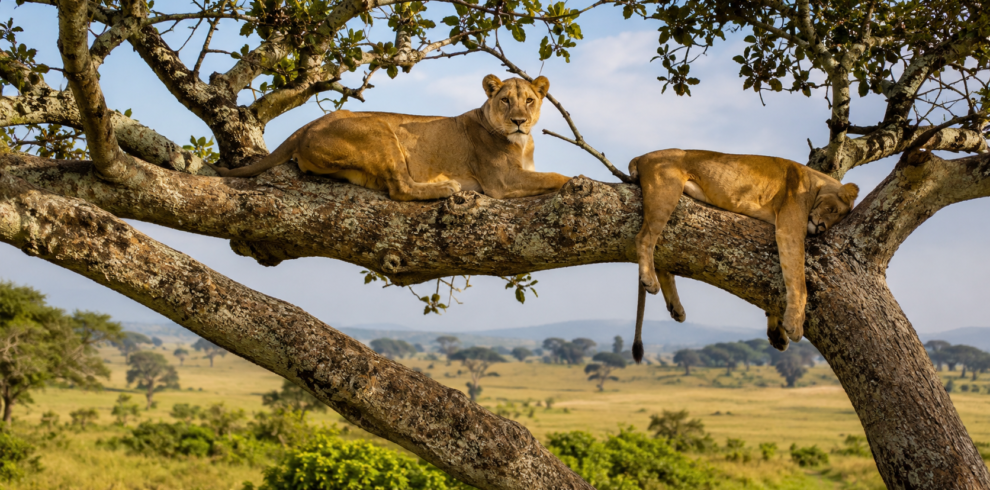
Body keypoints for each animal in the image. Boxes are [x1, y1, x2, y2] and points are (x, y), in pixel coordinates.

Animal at [209, 75, 571, 201]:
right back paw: (445, 187)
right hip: (381, 131)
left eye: (530, 100)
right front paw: (576, 181)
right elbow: (555, 176)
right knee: (400, 188)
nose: (519, 121)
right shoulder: (502, 181)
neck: (522, 142)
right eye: (506, 101)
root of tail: (311, 123)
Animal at [629, 149, 859, 361]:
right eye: (832, 209)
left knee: (661, 256)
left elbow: (775, 286)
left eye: (836, 220)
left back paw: (675, 307)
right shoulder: (789, 230)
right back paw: (650, 281)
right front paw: (794, 325)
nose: (821, 228)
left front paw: (777, 333)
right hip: (666, 192)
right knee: (644, 238)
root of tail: (643, 155)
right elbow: (798, 281)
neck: (815, 182)